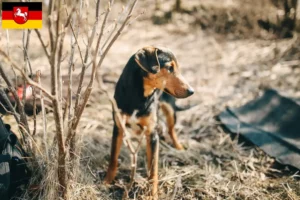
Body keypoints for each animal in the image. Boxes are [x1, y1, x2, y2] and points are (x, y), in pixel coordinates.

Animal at [105, 45, 195, 198]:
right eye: (169, 68)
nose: (191, 91)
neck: (139, 95)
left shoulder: (152, 134)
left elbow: (153, 170)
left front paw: (152, 195)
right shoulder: (118, 127)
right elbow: (113, 158)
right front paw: (106, 181)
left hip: (170, 111)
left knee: (171, 130)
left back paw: (178, 147)